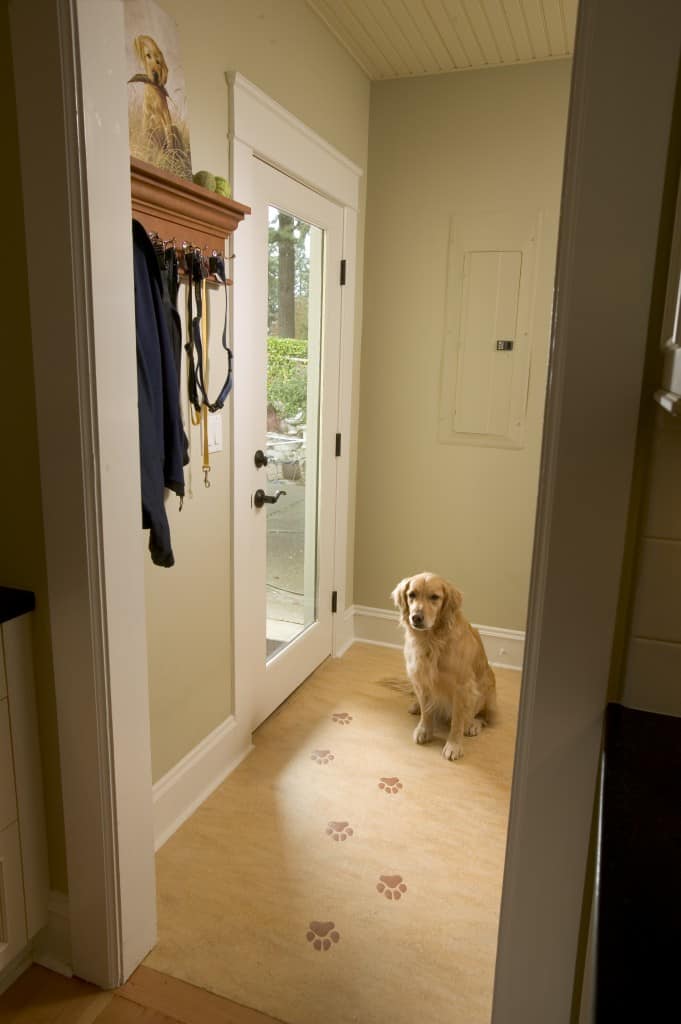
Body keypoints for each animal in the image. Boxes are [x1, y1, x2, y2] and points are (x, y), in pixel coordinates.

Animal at [391, 577, 497, 761]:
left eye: (434, 597)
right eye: (412, 594)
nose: (416, 617)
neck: (431, 640)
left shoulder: (462, 687)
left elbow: (457, 721)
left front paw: (453, 746)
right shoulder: (420, 678)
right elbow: (426, 711)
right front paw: (424, 730)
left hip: (489, 692)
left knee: (481, 716)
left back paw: (473, 725)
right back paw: (415, 706)